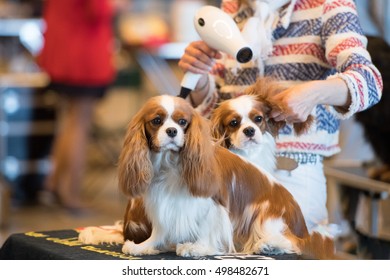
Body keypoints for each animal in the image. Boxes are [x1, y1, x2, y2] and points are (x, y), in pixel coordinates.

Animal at [78, 95, 332, 260]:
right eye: (157, 121)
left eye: (182, 122)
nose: (172, 131)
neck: (170, 164)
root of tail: (301, 223)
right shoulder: (161, 203)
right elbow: (160, 229)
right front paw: (146, 246)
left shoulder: (212, 205)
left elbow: (207, 229)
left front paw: (198, 248)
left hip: (265, 216)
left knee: (293, 242)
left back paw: (268, 246)